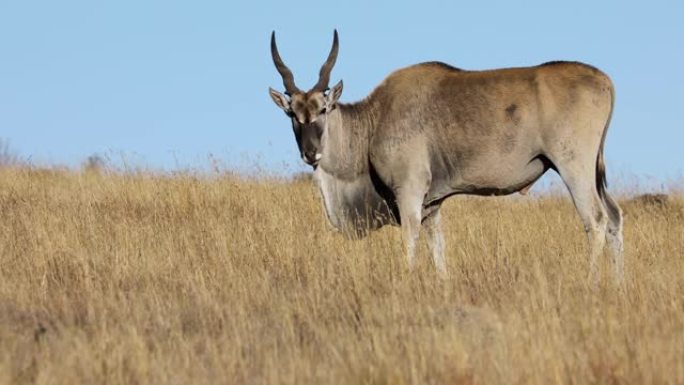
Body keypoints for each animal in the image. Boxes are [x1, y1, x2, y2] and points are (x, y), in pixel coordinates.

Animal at [268, 30, 624, 282]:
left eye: (323, 110)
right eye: (292, 114)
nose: (310, 153)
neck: (374, 120)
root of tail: (604, 80)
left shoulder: (410, 193)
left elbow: (410, 241)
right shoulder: (433, 204)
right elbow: (437, 249)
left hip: (573, 168)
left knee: (595, 219)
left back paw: (591, 283)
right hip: (593, 173)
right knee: (615, 217)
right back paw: (618, 287)